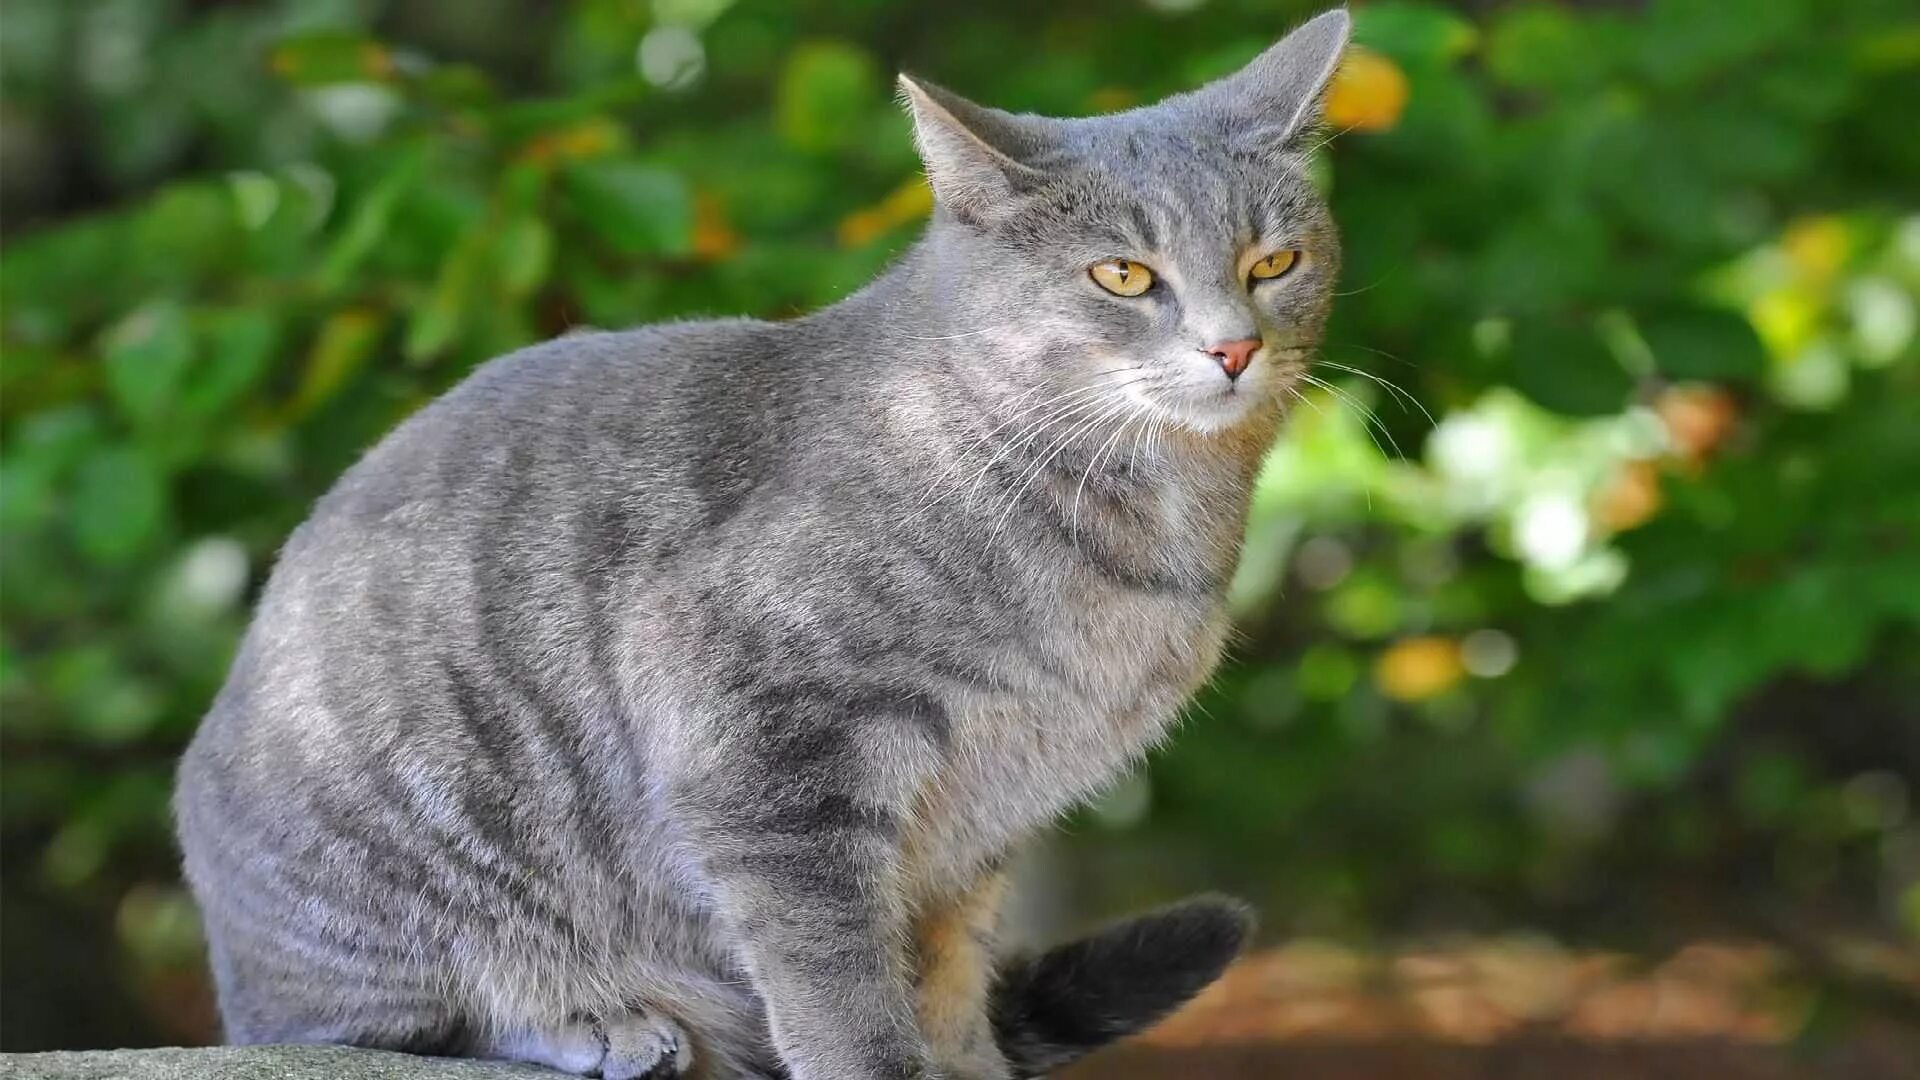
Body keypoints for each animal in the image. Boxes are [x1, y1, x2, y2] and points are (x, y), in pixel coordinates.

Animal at [176, 10, 1351, 1076]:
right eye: (1123, 276)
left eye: (1273, 261)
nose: (1235, 346)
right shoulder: (770, 762)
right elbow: (838, 982)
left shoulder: (976, 831)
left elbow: (949, 977)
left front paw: (963, 1060)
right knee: (397, 1021)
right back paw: (601, 1023)